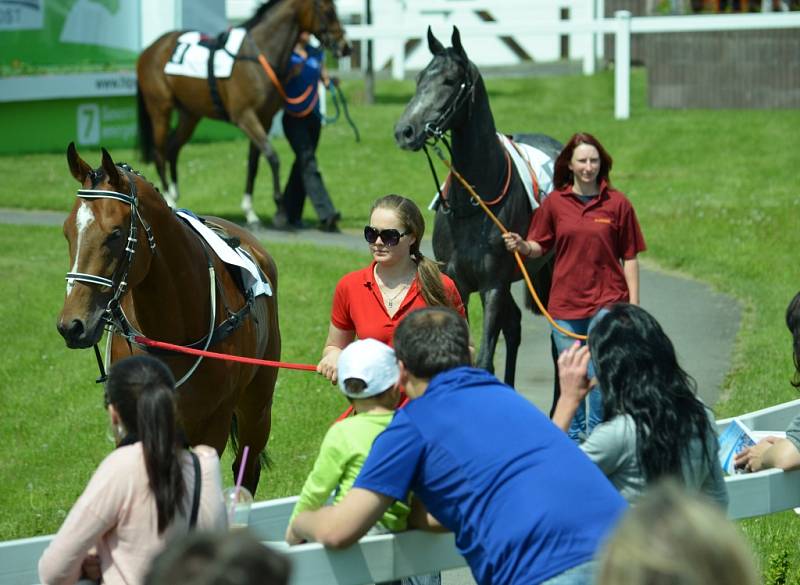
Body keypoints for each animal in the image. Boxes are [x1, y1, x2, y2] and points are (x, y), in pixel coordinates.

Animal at [57, 143, 282, 492]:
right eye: (68, 232)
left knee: (248, 465)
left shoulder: (213, 424)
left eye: (115, 234)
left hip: (257, 406)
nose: (72, 325)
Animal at [138, 0, 350, 226]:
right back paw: (166, 198)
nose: (346, 46)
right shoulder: (245, 117)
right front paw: (280, 210)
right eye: (327, 10)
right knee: (160, 152)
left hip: (190, 114)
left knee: (172, 148)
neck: (258, 55)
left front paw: (250, 211)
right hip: (160, 109)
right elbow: (272, 157)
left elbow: (254, 164)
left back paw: (174, 195)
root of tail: (149, 49)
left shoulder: (264, 119)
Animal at [396, 27, 564, 386]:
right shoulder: (458, 283)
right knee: (514, 326)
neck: (474, 202)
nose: (405, 131)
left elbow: (485, 358)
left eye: (449, 80)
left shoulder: (492, 285)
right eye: (418, 79)